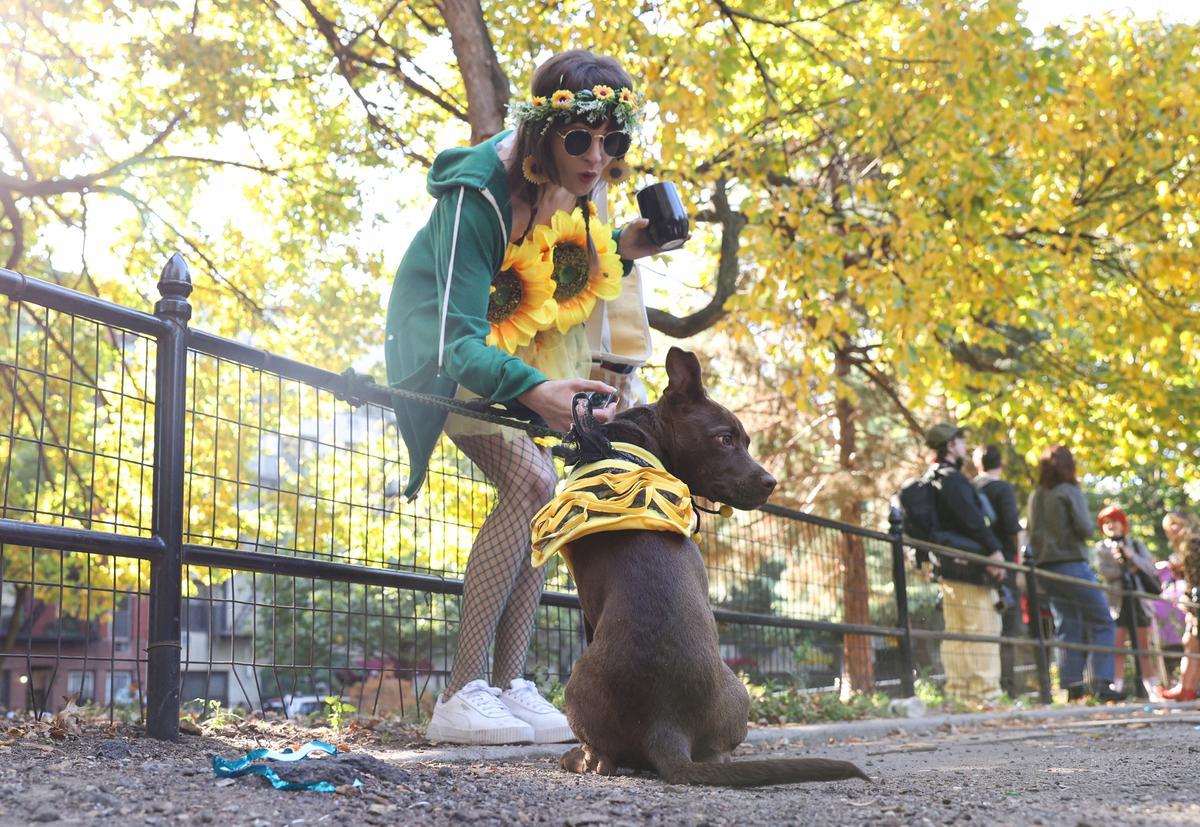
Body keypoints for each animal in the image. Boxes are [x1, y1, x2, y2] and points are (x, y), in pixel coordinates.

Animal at [556, 345, 868, 787]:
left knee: (602, 757)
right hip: (738, 692)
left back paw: (577, 757)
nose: (771, 482)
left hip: (576, 687)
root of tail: (665, 725)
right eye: (726, 439)